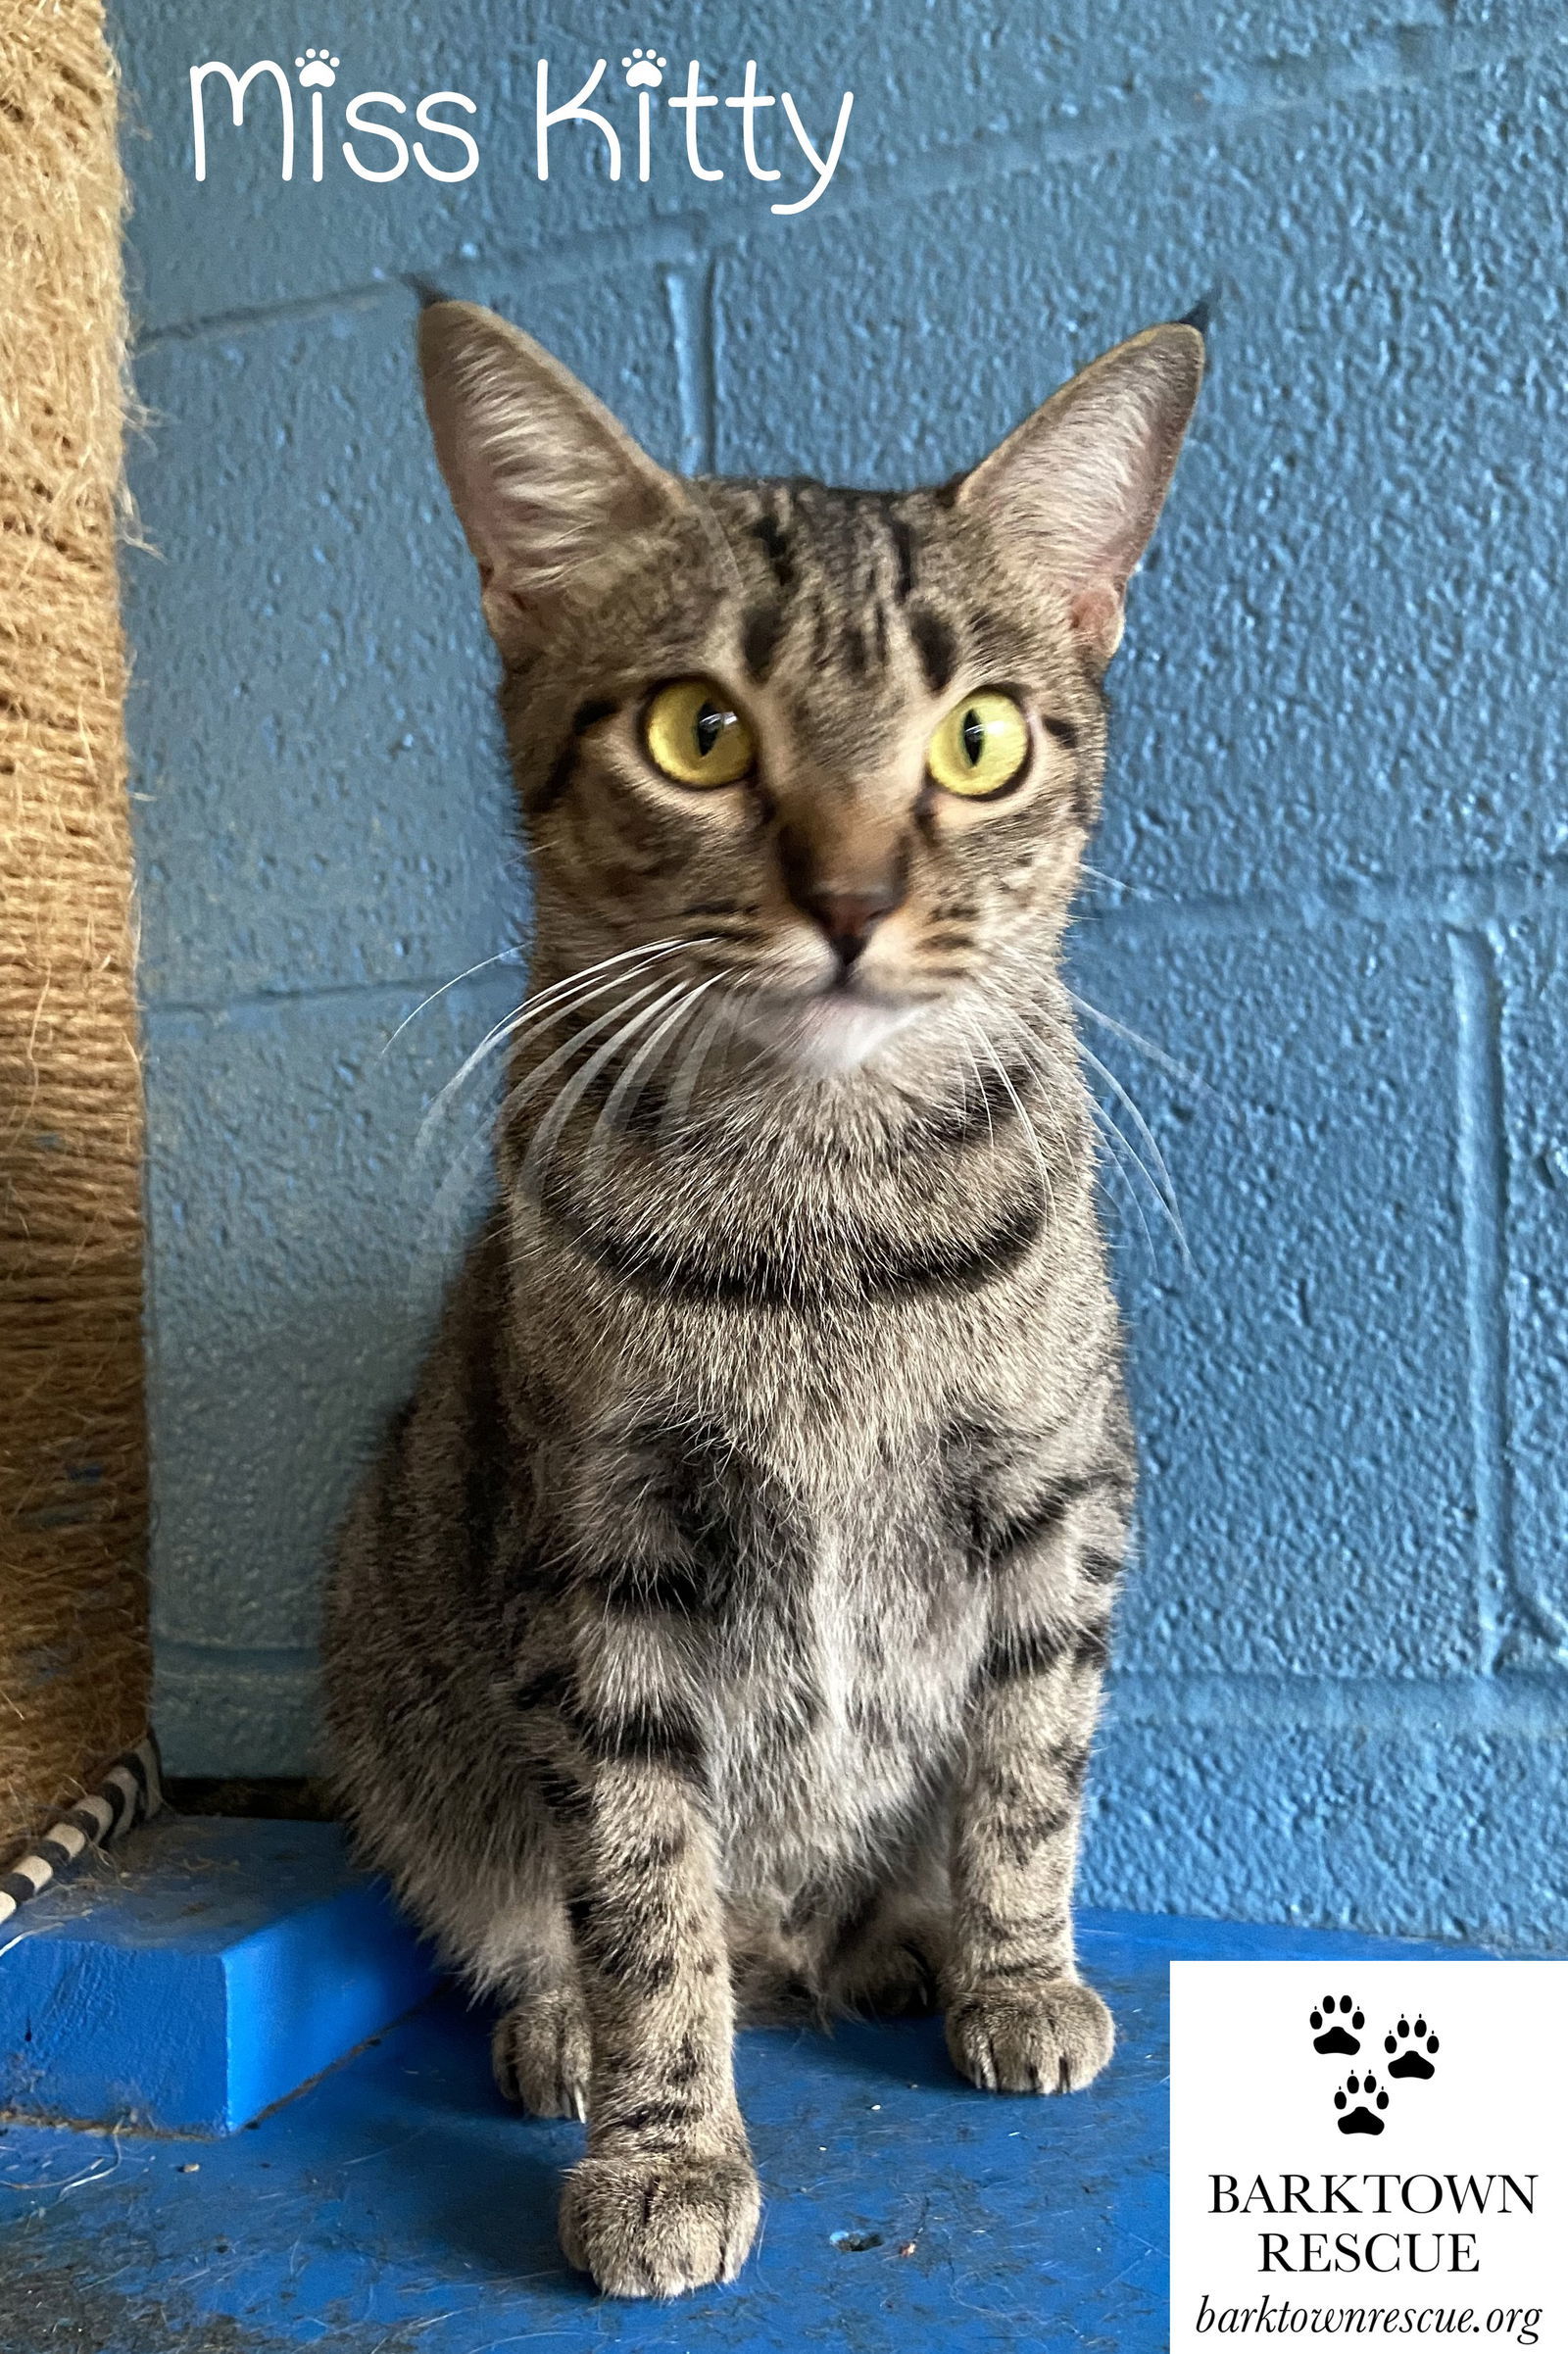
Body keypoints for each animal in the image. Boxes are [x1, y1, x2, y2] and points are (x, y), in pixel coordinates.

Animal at [318, 294, 1196, 2297]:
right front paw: (667, 2147)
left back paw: (905, 1949)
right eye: (697, 731)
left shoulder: (1060, 1502)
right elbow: (645, 1891)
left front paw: (1018, 1973)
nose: (857, 896)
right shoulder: (599, 1567)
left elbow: (1030, 1769)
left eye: (978, 740)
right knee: (586, 1917)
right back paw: (567, 2022)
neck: (828, 1215)